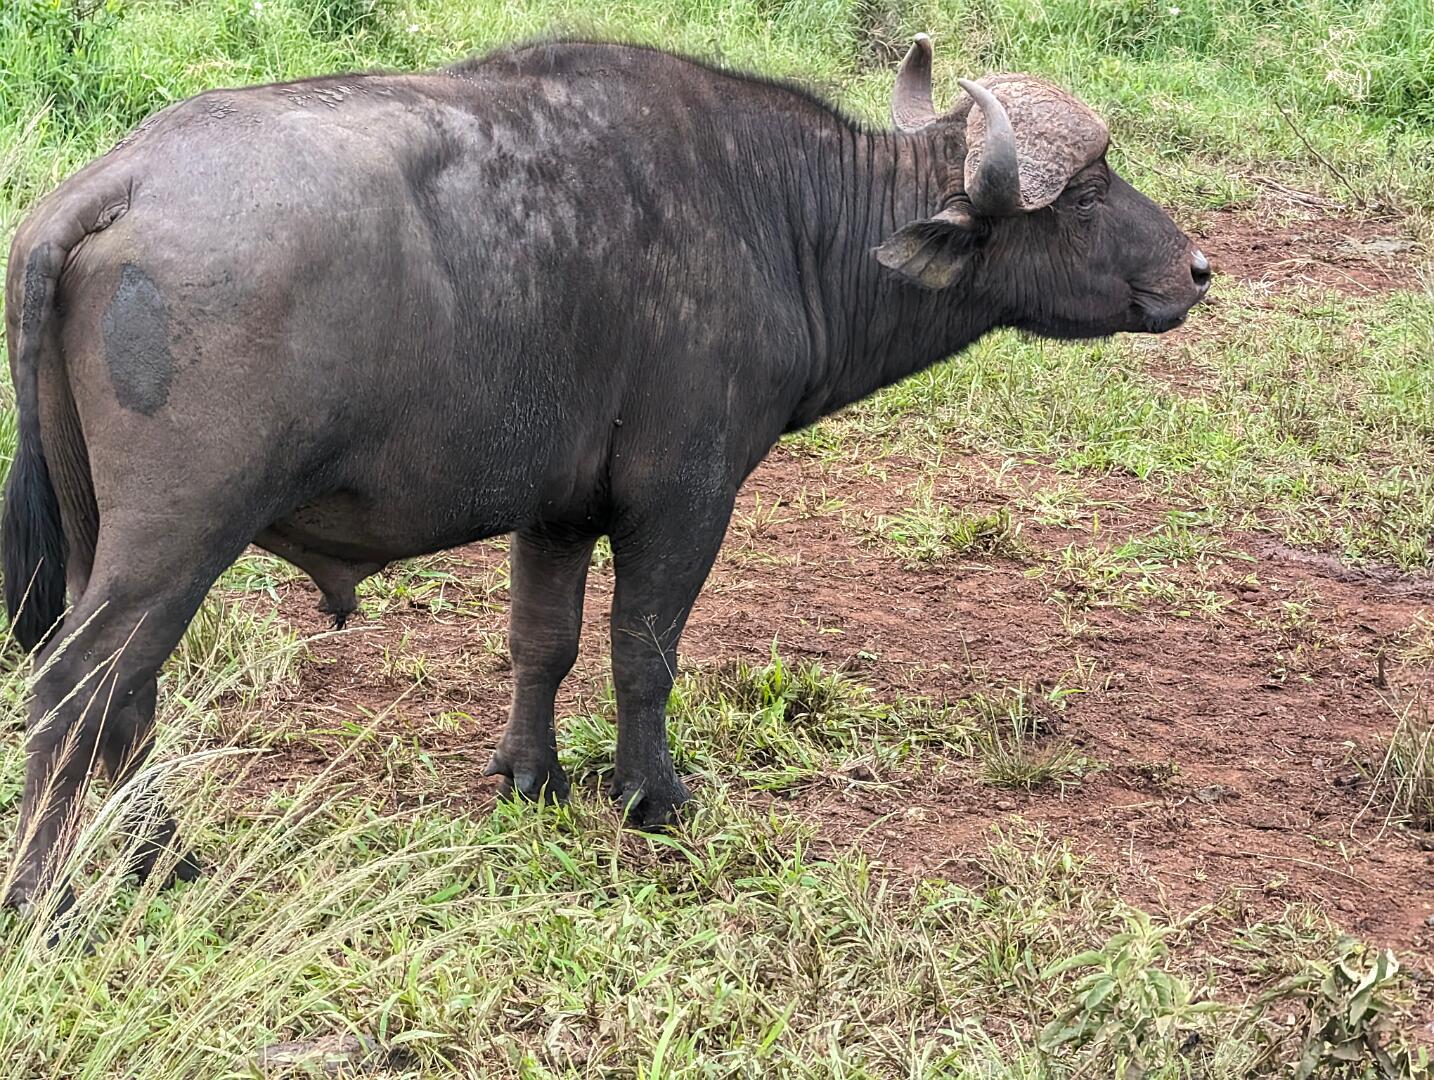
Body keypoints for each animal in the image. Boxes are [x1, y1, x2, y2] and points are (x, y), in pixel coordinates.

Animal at [2, 35, 1208, 913]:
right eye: (1089, 193)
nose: (1198, 268)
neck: (780, 213)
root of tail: (111, 187)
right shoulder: (683, 499)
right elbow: (643, 653)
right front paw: (651, 795)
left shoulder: (558, 512)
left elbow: (544, 642)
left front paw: (531, 777)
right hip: (177, 540)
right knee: (74, 690)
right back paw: (50, 898)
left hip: (110, 537)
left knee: (125, 698)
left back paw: (164, 857)